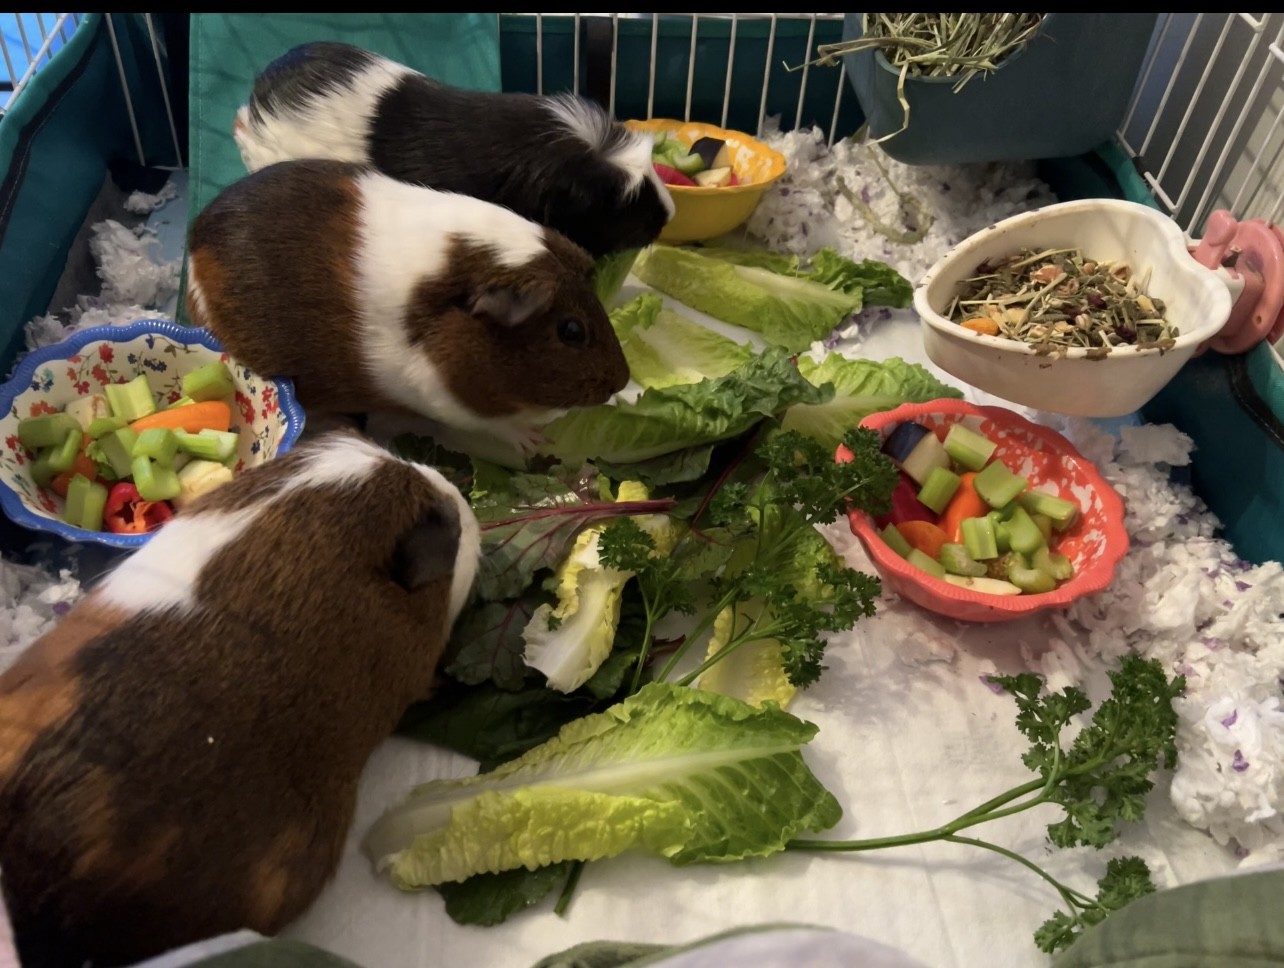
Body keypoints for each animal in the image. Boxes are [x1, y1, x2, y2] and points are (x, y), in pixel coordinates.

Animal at [185, 158, 631, 459]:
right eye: (571, 331)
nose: (621, 382)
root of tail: (192, 253)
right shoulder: (443, 395)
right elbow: (497, 423)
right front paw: (534, 440)